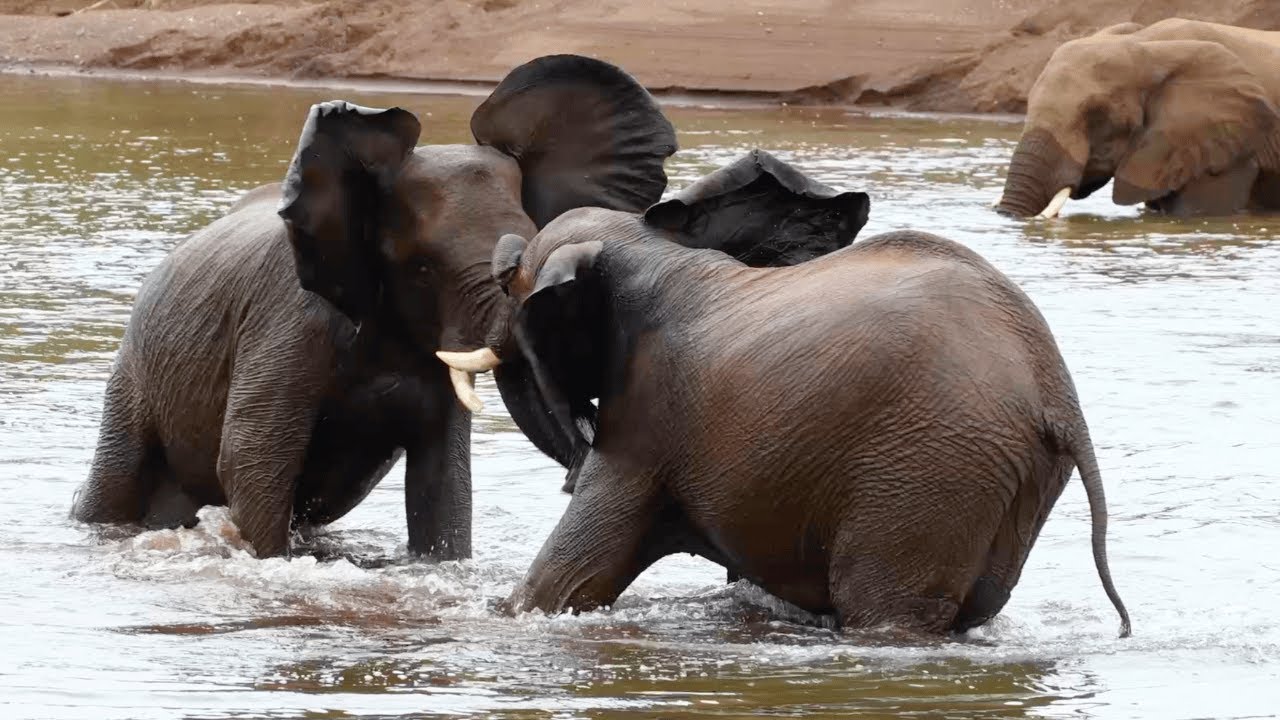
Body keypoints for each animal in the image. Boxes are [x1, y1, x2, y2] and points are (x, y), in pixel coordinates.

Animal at [70, 54, 678, 559]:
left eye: (531, 246)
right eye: (423, 267)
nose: (573, 477)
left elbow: (443, 480)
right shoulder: (287, 322)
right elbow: (253, 459)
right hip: (133, 378)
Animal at [439, 150, 1132, 636]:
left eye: (509, 285)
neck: (648, 246)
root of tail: (1056, 397)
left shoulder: (647, 415)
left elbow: (573, 576)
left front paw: (512, 612)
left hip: (934, 468)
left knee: (885, 607)